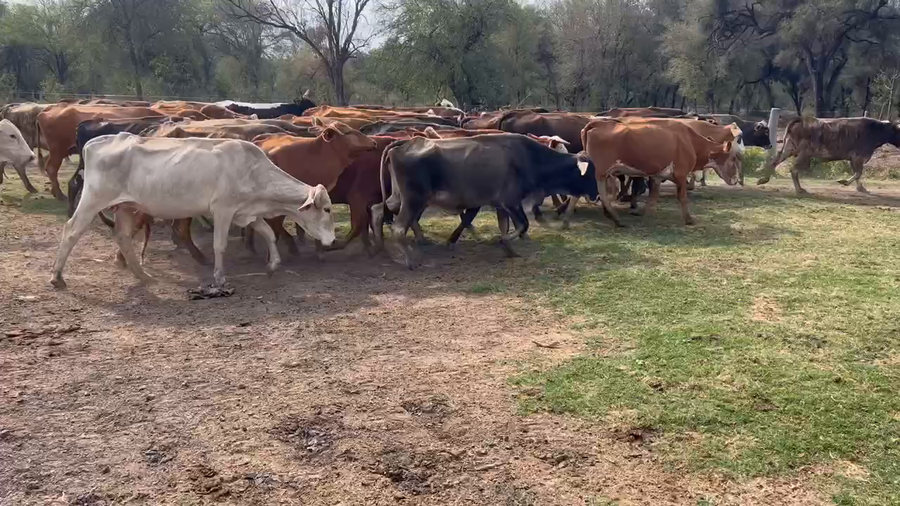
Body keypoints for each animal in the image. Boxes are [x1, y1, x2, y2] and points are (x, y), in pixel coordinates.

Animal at [50, 134, 335, 289]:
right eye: (328, 208)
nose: (332, 241)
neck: (252, 170)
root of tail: (98, 141)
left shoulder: (246, 212)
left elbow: (269, 233)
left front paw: (273, 264)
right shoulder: (223, 209)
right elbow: (220, 245)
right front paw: (219, 277)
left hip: (126, 206)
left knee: (122, 237)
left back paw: (144, 275)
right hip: (93, 199)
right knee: (71, 230)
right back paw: (56, 276)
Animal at [372, 134, 607, 268]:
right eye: (588, 173)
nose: (596, 194)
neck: (531, 158)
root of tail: (404, 143)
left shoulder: (500, 205)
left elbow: (505, 226)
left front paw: (508, 249)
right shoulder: (510, 202)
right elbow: (522, 225)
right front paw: (504, 242)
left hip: (399, 198)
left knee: (377, 210)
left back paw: (380, 245)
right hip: (414, 200)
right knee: (398, 228)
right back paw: (410, 260)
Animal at [582, 118, 742, 225]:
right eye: (733, 157)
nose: (735, 179)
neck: (689, 141)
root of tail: (599, 123)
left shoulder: (657, 176)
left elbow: (653, 197)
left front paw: (648, 215)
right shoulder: (681, 174)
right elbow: (683, 197)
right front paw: (689, 219)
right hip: (601, 171)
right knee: (602, 191)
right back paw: (616, 218)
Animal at [757, 117, 900, 194]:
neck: (876, 130)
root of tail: (801, 119)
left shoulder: (855, 159)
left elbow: (858, 174)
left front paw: (861, 188)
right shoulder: (857, 157)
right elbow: (858, 173)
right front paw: (845, 182)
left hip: (789, 148)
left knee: (775, 161)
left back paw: (763, 179)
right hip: (804, 154)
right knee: (793, 170)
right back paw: (799, 189)